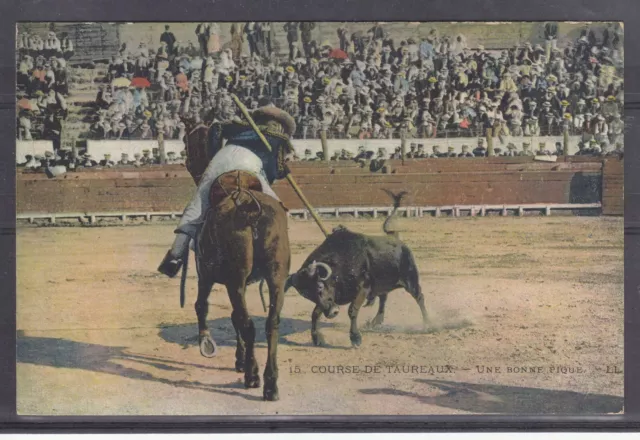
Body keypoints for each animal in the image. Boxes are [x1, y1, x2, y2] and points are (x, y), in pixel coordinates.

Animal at [181, 122, 288, 400]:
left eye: (187, 141)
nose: (188, 163)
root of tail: (250, 205)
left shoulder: (207, 276)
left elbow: (202, 306)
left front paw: (212, 346)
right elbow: (233, 316)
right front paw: (239, 359)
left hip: (236, 280)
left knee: (247, 322)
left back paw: (253, 376)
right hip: (276, 277)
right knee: (271, 322)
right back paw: (271, 383)